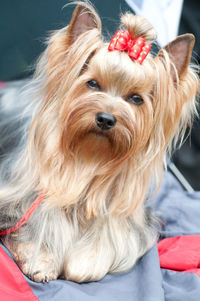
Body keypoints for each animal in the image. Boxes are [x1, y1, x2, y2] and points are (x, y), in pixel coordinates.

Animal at [0, 0, 198, 282]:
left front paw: (85, 262)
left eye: (136, 99)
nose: (105, 119)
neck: (90, 158)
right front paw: (41, 260)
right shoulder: (21, 197)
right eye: (92, 84)